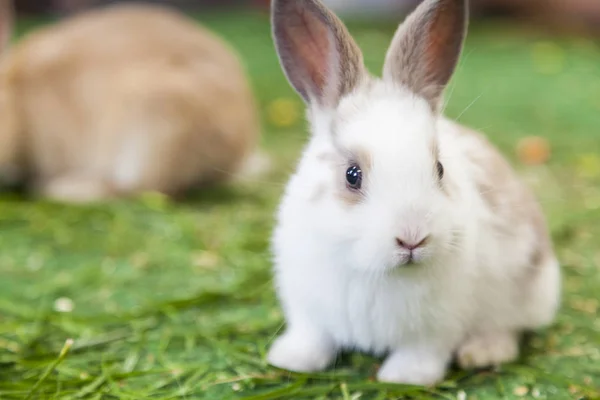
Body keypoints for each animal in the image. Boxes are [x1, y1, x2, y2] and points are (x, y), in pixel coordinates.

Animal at [264, 0, 560, 386]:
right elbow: (312, 337)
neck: (375, 269)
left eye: (440, 169)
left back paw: (482, 352)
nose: (412, 239)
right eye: (352, 175)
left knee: (508, 329)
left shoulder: (436, 327)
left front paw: (404, 377)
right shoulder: (307, 309)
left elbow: (423, 352)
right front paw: (291, 360)